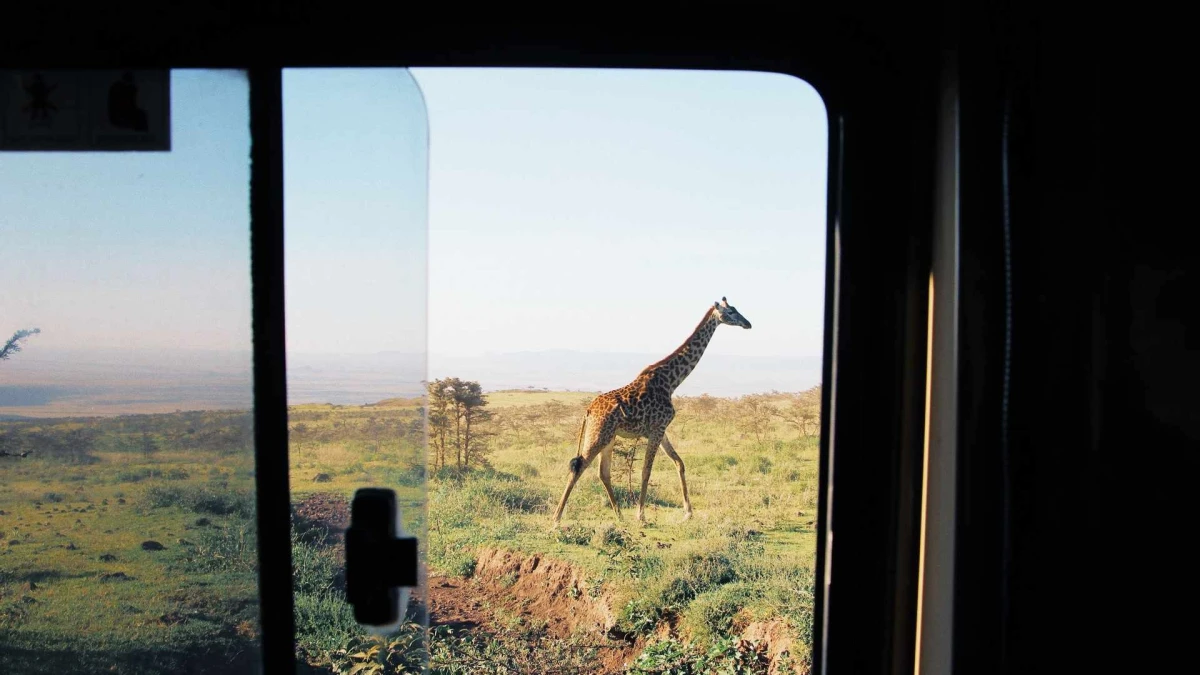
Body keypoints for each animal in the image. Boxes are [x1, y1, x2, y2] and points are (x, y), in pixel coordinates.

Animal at [549, 296, 748, 528]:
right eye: (731, 312)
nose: (748, 323)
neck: (672, 381)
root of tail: (588, 411)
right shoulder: (657, 429)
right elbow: (646, 471)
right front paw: (641, 515)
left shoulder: (660, 430)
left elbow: (679, 463)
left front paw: (688, 512)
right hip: (599, 435)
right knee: (579, 467)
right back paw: (556, 519)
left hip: (609, 437)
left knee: (603, 472)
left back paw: (619, 515)